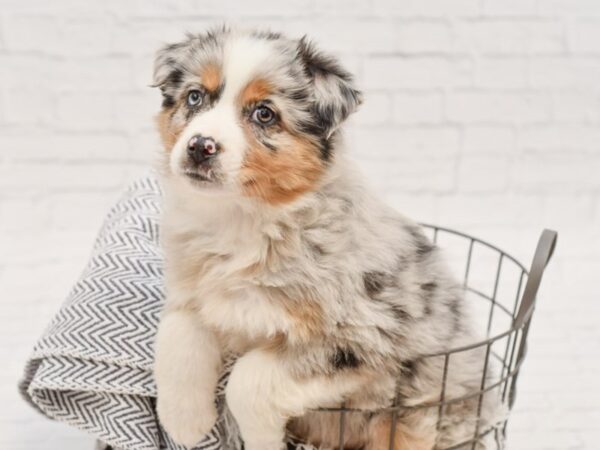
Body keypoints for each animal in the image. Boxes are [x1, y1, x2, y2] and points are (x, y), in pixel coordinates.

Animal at [152, 29, 500, 450]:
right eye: (194, 97)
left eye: (264, 113)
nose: (200, 146)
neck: (242, 220)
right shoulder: (195, 290)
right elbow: (176, 332)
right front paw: (185, 421)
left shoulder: (363, 338)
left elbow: (247, 381)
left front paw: (262, 439)